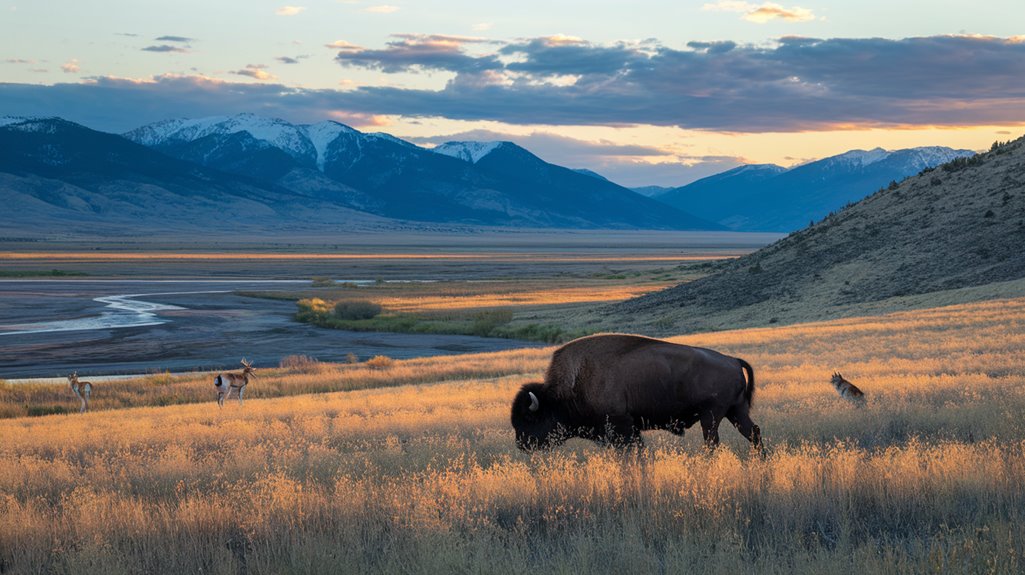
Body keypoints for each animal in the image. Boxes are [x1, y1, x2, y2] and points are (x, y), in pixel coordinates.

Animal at [512, 334, 762, 450]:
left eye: (531, 418)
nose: (522, 444)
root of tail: (732, 360)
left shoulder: (622, 426)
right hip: (735, 411)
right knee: (753, 432)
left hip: (711, 416)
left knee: (713, 442)